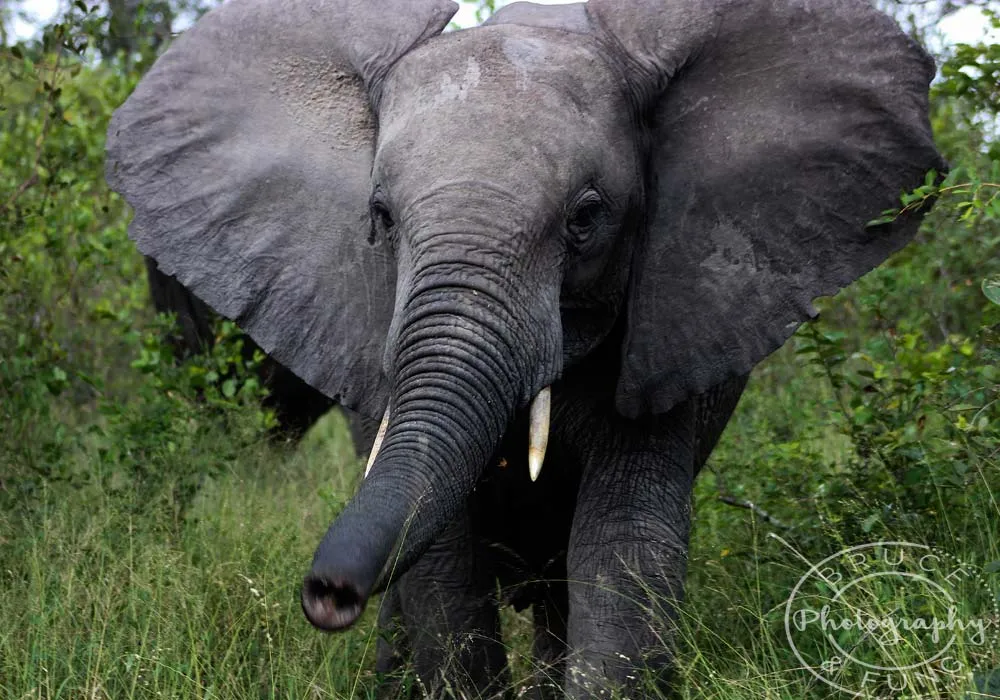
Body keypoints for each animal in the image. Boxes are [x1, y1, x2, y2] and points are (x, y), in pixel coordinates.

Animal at [105, 0, 943, 696]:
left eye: (586, 218)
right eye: (380, 219)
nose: (327, 596)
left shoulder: (673, 323)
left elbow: (624, 546)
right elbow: (444, 571)